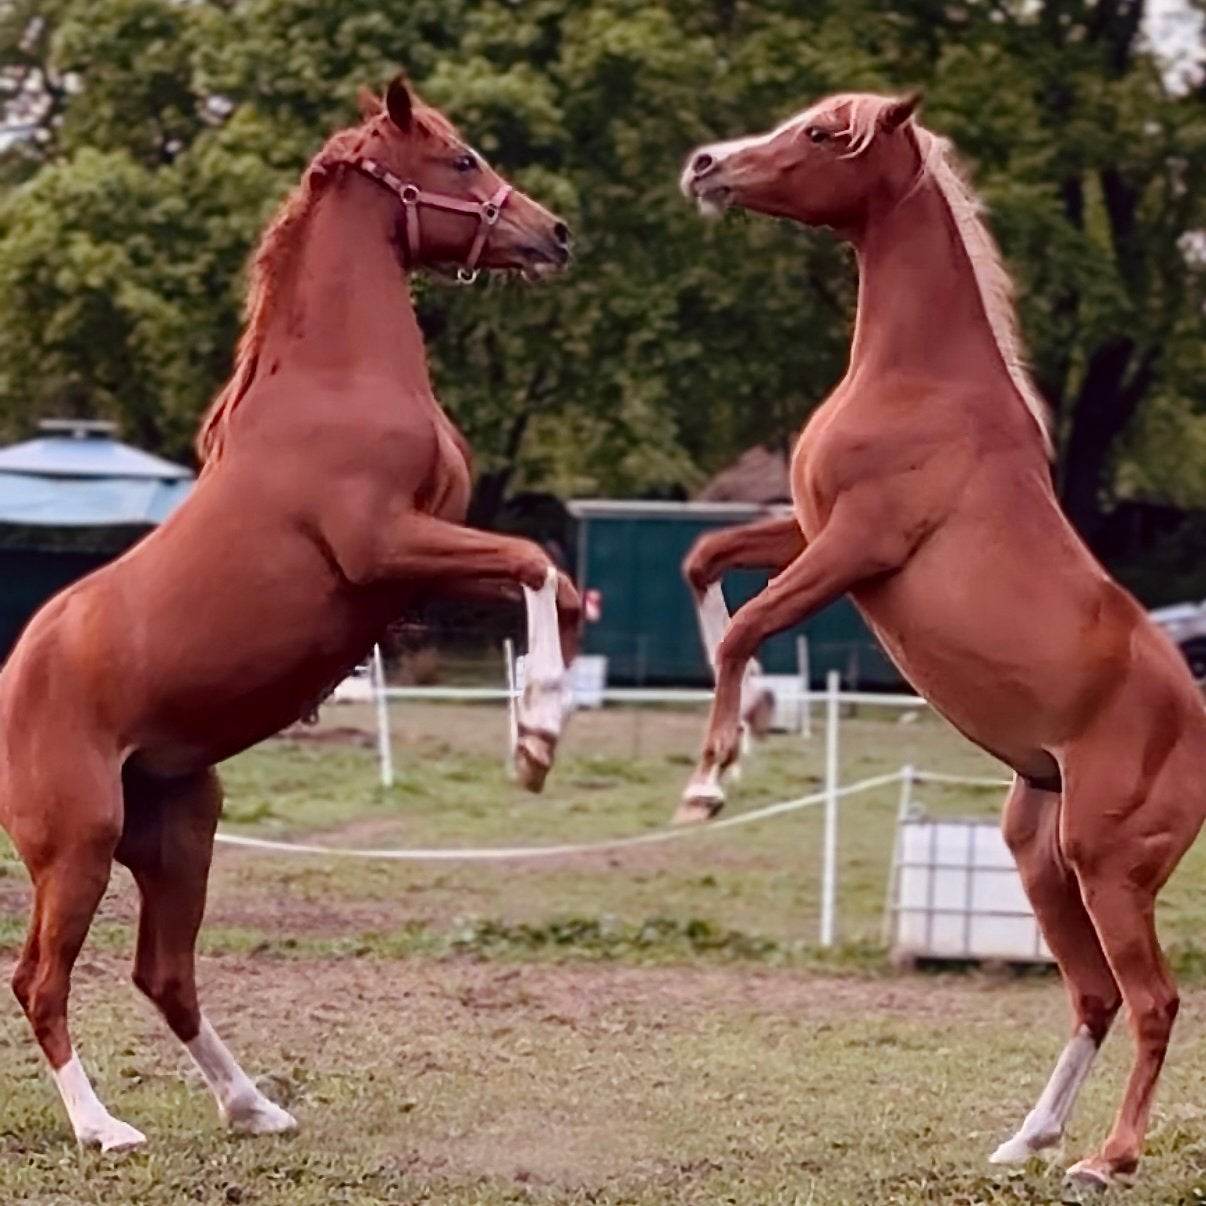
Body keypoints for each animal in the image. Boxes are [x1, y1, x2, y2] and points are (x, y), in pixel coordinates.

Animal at [0, 75, 581, 1152]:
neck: (337, 383)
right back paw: (105, 1128)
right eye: (462, 158)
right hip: (78, 843)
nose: (553, 232)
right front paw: (536, 733)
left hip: (180, 830)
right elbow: (534, 563)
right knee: (41, 980)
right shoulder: (387, 547)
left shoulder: (419, 566)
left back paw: (253, 1105)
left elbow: (551, 584)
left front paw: (538, 731)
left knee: (165, 975)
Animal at [680, 91, 1205, 1188]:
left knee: (1154, 1001)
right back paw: (1027, 1139)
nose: (707, 165)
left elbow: (745, 622)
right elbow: (706, 565)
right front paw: (740, 730)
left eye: (824, 135)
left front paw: (709, 779)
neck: (922, 381)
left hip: (1110, 869)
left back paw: (1106, 1161)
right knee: (1094, 996)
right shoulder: (810, 528)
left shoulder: (856, 546)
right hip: (1041, 854)